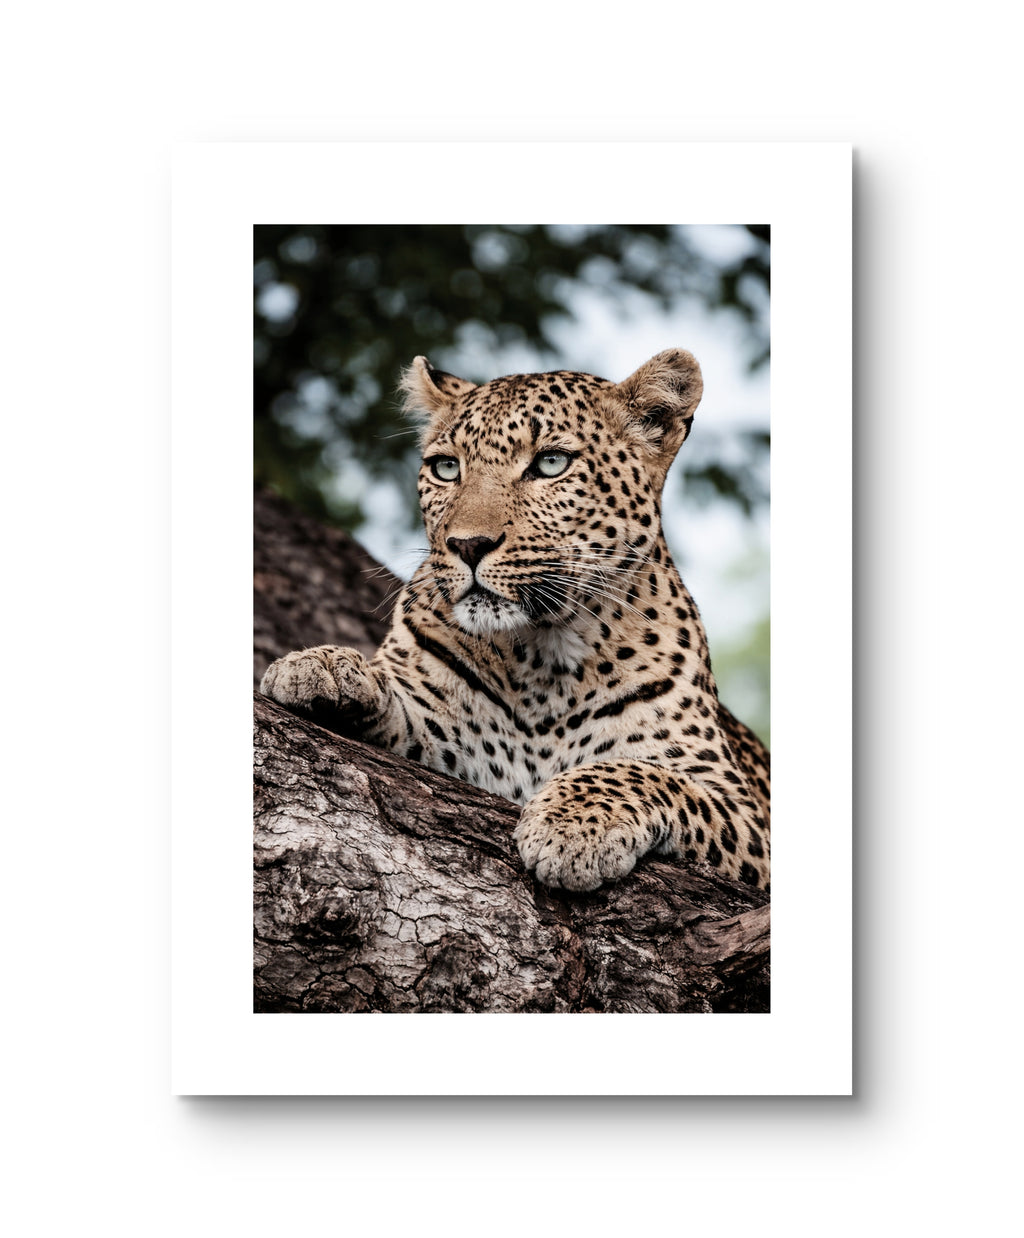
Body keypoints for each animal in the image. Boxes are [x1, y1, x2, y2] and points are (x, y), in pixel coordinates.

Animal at [260, 348, 770, 893]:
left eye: (551, 463)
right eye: (446, 468)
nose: (467, 545)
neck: (545, 657)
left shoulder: (739, 806)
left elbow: (642, 773)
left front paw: (573, 824)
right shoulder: (446, 735)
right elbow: (400, 699)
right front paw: (324, 668)